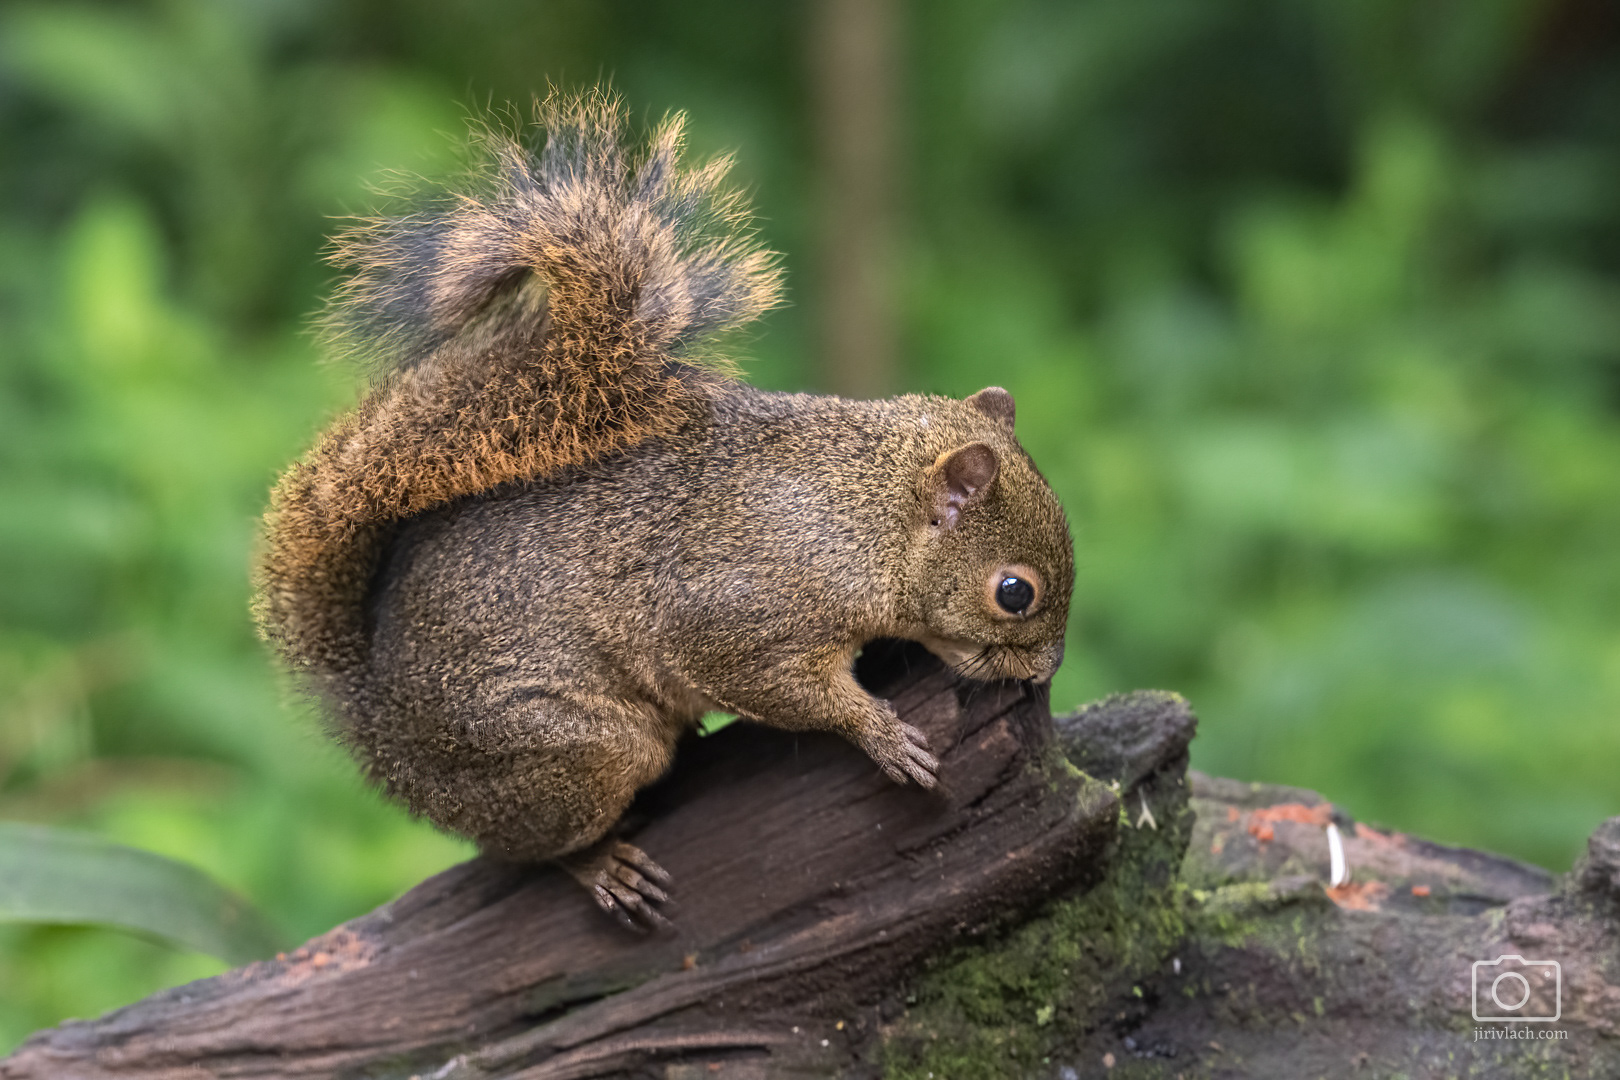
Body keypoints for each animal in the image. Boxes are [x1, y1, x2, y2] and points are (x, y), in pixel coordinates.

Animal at [255, 91, 1074, 930]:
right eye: (1014, 593)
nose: (1047, 670)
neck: (857, 510)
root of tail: (373, 723)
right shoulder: (741, 616)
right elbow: (783, 686)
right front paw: (879, 732)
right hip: (573, 750)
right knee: (524, 845)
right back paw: (598, 864)